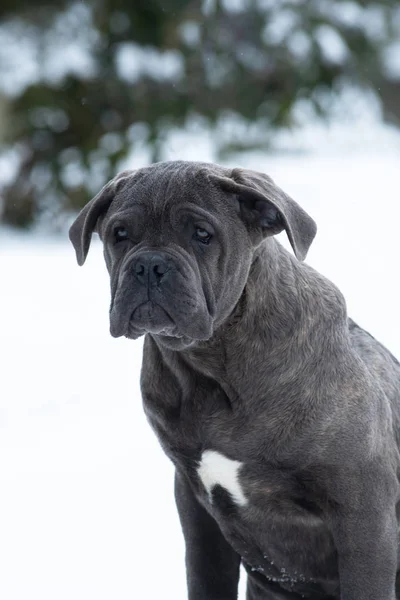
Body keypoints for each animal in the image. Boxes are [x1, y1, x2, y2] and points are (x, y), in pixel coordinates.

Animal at [69, 161, 400, 600]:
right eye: (120, 234)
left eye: (202, 234)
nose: (149, 265)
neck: (213, 367)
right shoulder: (197, 508)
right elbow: (206, 577)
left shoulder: (363, 511)